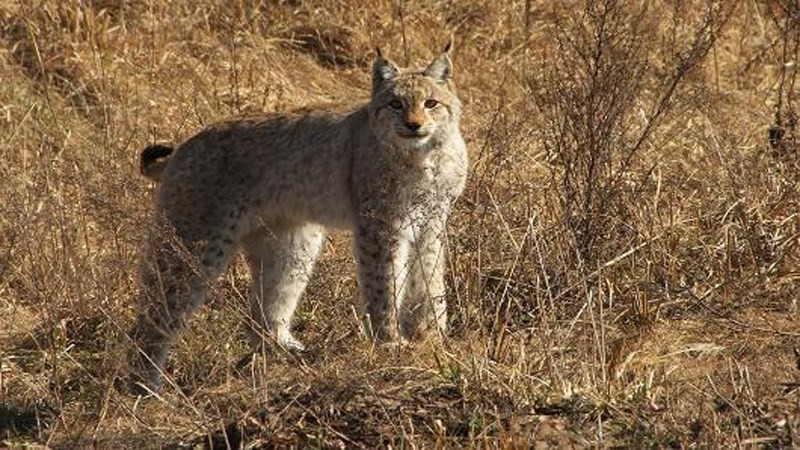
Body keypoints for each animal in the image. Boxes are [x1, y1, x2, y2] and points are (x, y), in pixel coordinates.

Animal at [130, 43, 468, 390]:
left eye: (431, 104)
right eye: (395, 104)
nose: (414, 125)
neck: (425, 155)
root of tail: (186, 144)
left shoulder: (432, 221)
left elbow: (430, 279)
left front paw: (434, 337)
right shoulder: (379, 223)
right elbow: (384, 283)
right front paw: (390, 343)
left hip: (294, 241)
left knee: (262, 312)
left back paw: (287, 351)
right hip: (195, 242)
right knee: (150, 319)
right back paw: (144, 387)